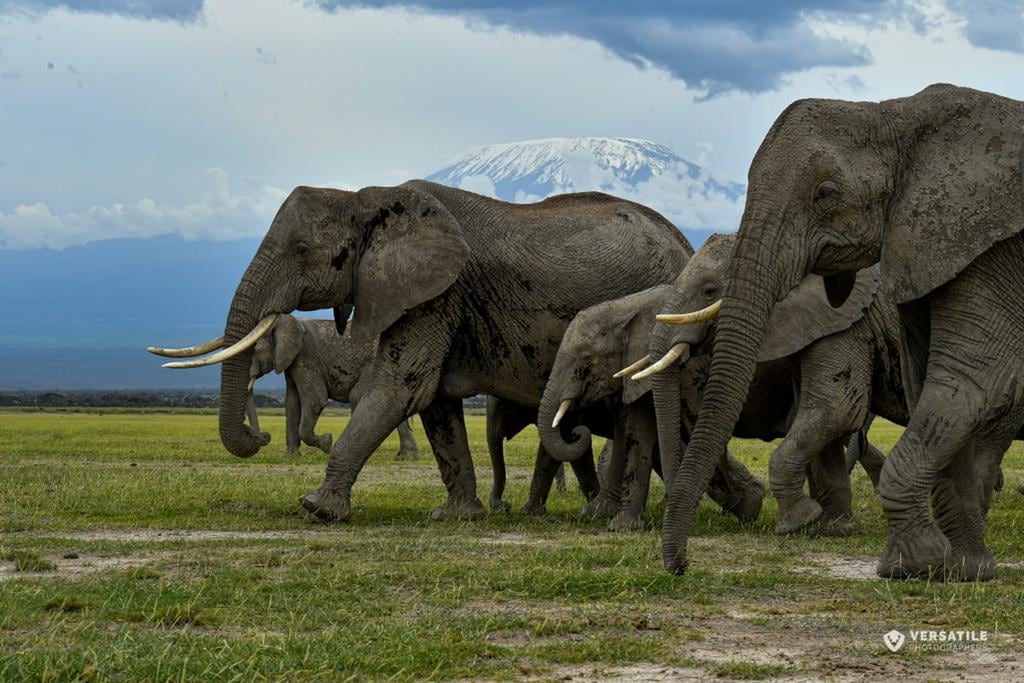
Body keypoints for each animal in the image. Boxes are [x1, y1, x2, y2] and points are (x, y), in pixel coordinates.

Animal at [243, 313, 419, 460]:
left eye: (255, 349)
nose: (266, 436)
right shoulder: (291, 362)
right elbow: (292, 403)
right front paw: (290, 457)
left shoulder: (306, 357)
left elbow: (316, 399)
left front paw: (327, 443)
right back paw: (406, 457)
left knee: (358, 396)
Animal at [536, 284, 766, 531]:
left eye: (586, 357)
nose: (577, 432)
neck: (629, 307)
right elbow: (639, 431)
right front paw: (623, 526)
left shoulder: (693, 370)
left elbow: (696, 427)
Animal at [637, 233, 907, 539]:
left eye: (709, 291)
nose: (669, 504)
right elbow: (821, 420)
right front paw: (833, 529)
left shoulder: (849, 322)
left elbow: (836, 411)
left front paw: (796, 523)